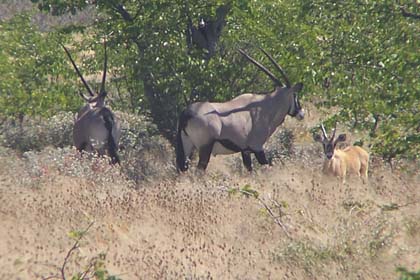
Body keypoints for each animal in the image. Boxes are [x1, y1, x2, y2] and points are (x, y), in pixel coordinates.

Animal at [176, 47, 304, 172]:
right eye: (295, 95)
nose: (301, 113)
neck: (266, 107)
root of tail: (186, 113)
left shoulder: (245, 151)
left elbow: (249, 169)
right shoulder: (257, 147)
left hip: (187, 146)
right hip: (205, 148)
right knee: (199, 170)